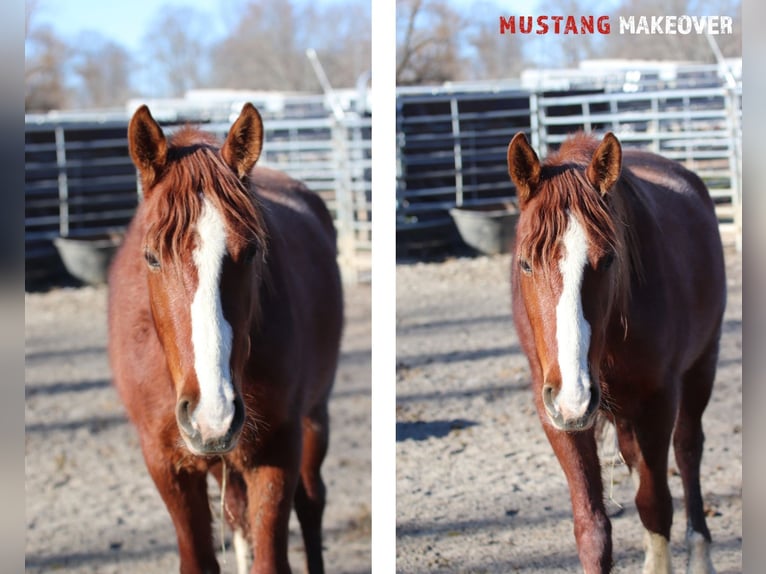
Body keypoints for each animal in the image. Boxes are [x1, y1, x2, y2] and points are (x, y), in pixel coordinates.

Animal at [109, 104, 344, 574]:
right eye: (152, 257)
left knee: (311, 503)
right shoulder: (166, 463)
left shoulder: (277, 449)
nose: (211, 414)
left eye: (251, 251)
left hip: (314, 418)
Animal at [510, 132, 728, 574]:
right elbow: (592, 529)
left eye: (608, 259)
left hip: (702, 367)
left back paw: (700, 554)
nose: (575, 395)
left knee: (688, 450)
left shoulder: (658, 401)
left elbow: (655, 506)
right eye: (525, 264)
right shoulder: (555, 412)